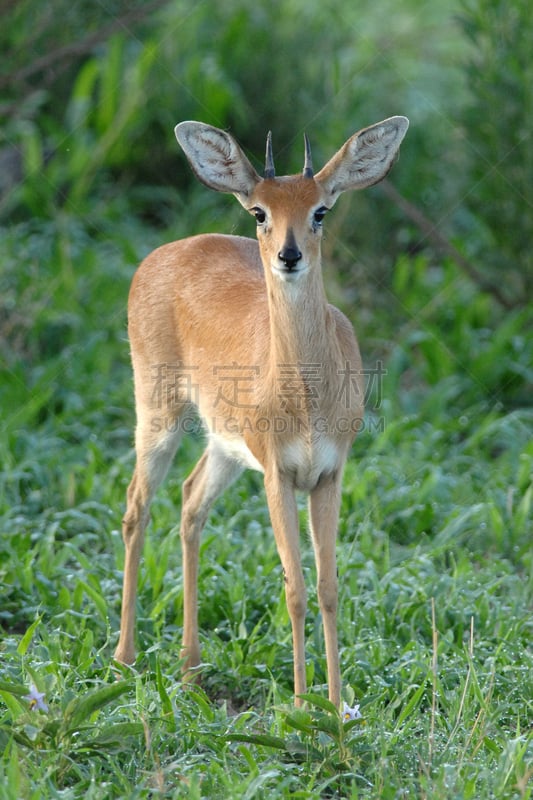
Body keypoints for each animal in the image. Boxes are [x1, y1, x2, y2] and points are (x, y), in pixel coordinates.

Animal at [114, 114, 410, 708]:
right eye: (259, 212)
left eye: (320, 210)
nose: (288, 255)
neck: (306, 399)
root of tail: (163, 255)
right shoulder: (278, 474)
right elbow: (295, 589)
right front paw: (299, 704)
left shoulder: (328, 474)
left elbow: (328, 587)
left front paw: (336, 704)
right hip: (157, 412)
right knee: (137, 506)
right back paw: (125, 659)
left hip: (223, 447)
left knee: (190, 504)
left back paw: (191, 668)